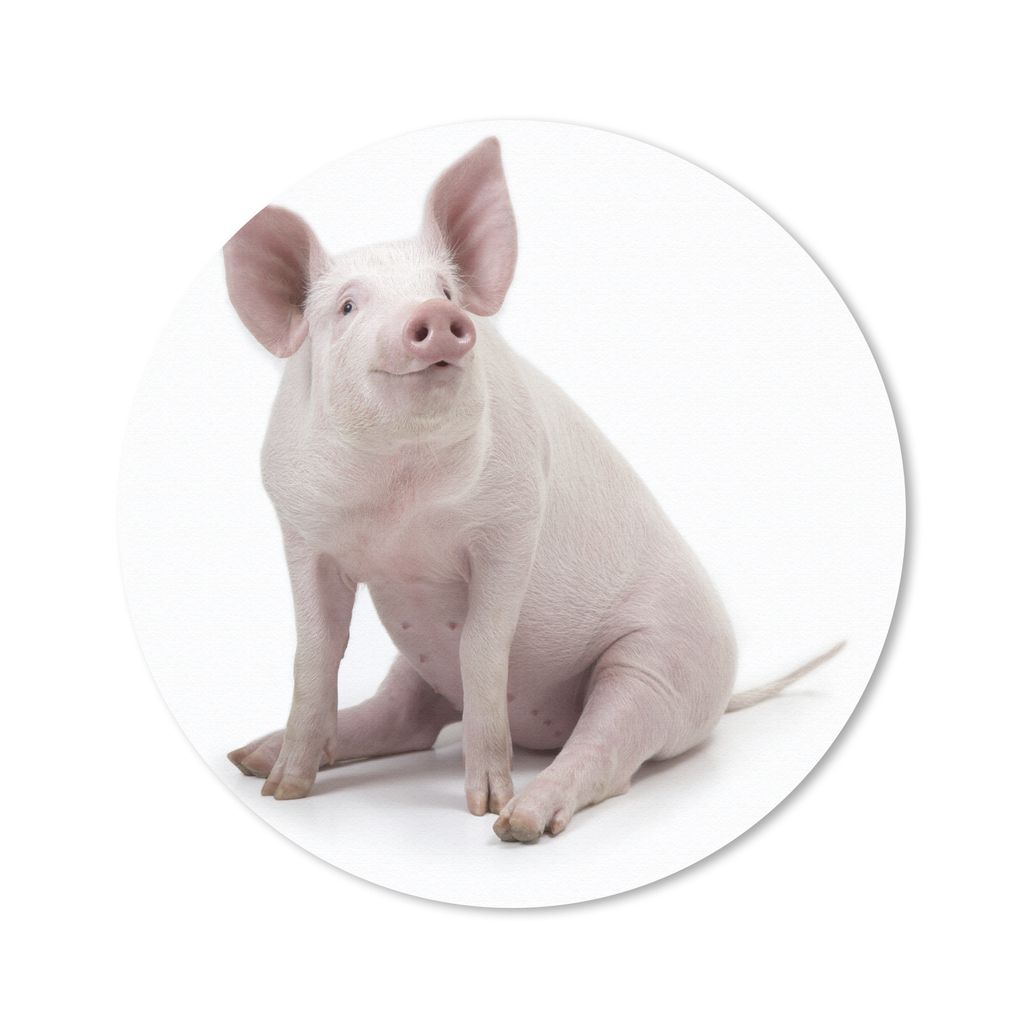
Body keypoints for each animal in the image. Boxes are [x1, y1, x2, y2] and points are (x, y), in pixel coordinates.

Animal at [223, 137, 843, 843]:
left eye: (444, 288)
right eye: (348, 307)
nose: (437, 314)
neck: (400, 502)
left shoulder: (513, 520)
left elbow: (482, 648)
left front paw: (483, 806)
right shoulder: (300, 530)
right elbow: (316, 652)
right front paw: (282, 791)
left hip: (658, 666)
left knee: (608, 752)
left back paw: (518, 821)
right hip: (421, 666)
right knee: (405, 715)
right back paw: (250, 755)